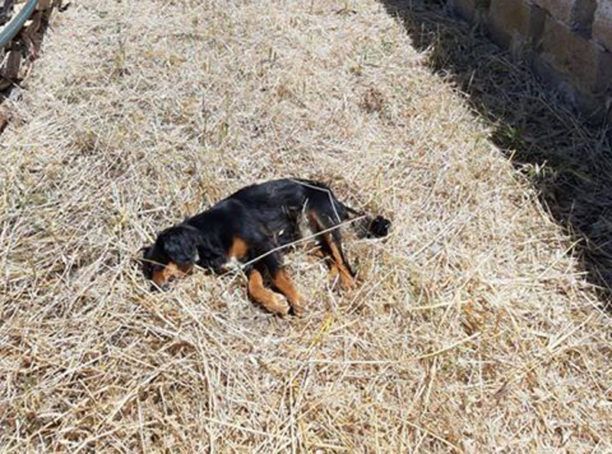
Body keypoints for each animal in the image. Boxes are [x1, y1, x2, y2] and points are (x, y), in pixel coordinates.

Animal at [142, 178, 392, 316]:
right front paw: (276, 304)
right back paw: (332, 278)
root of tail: (332, 194)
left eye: (157, 263)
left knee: (343, 260)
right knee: (327, 255)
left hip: (323, 219)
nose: (153, 288)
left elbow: (280, 277)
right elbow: (253, 288)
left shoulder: (264, 246)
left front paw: (298, 303)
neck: (207, 235)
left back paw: (348, 284)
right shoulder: (250, 262)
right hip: (303, 239)